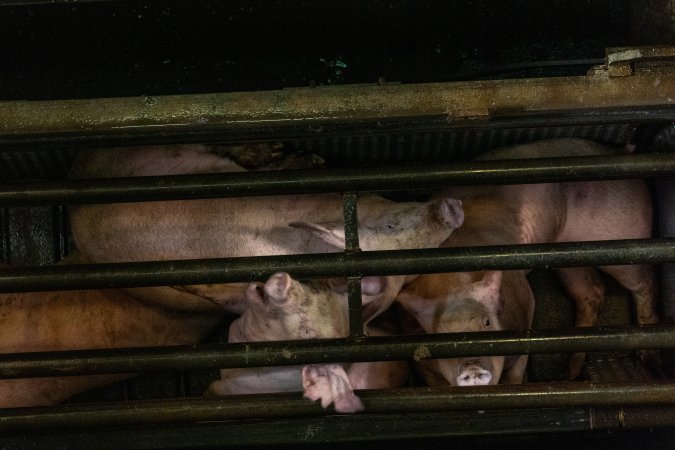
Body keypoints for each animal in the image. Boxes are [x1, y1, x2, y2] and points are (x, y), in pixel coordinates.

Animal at [398, 138, 656, 384]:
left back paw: (646, 354)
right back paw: (571, 373)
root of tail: (623, 152)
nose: (472, 367)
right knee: (591, 291)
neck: (451, 280)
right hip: (569, 255)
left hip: (622, 239)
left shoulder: (525, 307)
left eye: (487, 323)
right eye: (440, 336)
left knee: (643, 283)